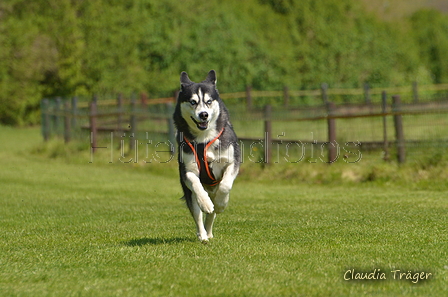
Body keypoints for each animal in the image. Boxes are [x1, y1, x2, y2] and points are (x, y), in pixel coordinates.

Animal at [173, 70, 240, 242]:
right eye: (193, 102)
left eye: (209, 101)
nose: (203, 114)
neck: (204, 139)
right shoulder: (187, 171)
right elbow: (195, 182)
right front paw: (205, 203)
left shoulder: (232, 161)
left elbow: (225, 185)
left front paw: (222, 203)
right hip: (190, 196)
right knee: (198, 214)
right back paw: (203, 235)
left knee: (212, 213)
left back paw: (209, 230)